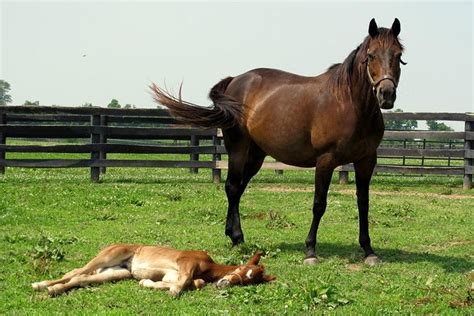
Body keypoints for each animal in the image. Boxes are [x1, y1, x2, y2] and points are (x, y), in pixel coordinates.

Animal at [151, 17, 404, 264]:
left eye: (398, 55)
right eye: (370, 55)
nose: (386, 94)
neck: (348, 103)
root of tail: (235, 81)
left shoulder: (366, 161)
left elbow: (364, 203)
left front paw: (368, 250)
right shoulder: (325, 161)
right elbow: (319, 204)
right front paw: (310, 251)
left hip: (256, 155)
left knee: (238, 188)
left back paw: (233, 235)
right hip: (238, 149)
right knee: (232, 187)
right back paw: (237, 237)